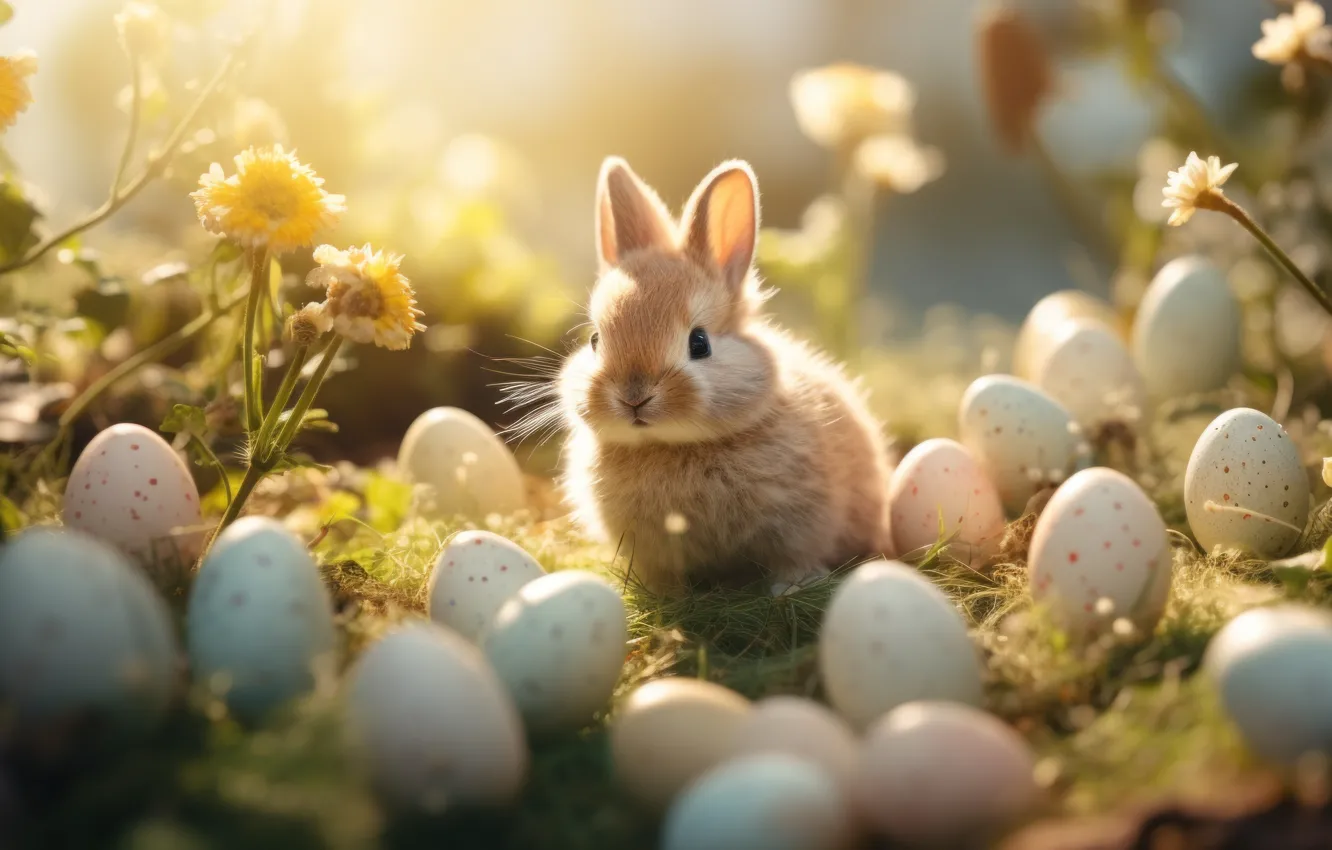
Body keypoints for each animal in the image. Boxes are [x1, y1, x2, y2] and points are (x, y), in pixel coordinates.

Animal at [556, 156, 894, 596]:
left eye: (699, 342)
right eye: (595, 340)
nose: (633, 396)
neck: (670, 445)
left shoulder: (803, 523)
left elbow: (796, 556)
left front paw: (792, 587)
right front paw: (662, 594)